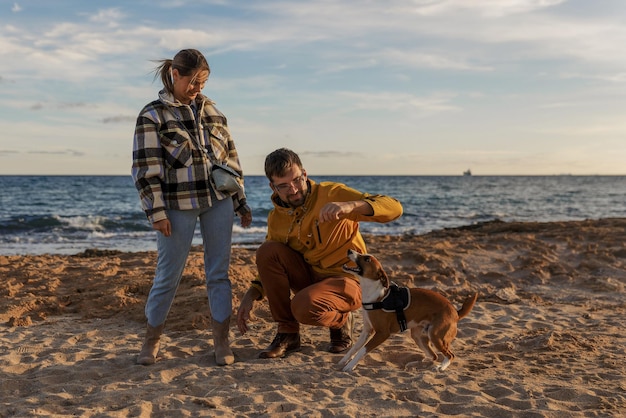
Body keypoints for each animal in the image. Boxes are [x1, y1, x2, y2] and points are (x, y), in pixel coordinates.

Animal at [336, 248, 478, 372]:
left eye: (367, 259)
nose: (349, 250)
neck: (375, 295)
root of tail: (455, 312)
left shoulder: (382, 333)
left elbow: (362, 350)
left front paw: (350, 366)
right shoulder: (367, 331)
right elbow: (354, 348)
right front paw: (344, 361)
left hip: (436, 335)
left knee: (450, 355)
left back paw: (440, 367)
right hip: (418, 336)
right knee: (433, 356)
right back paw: (414, 363)